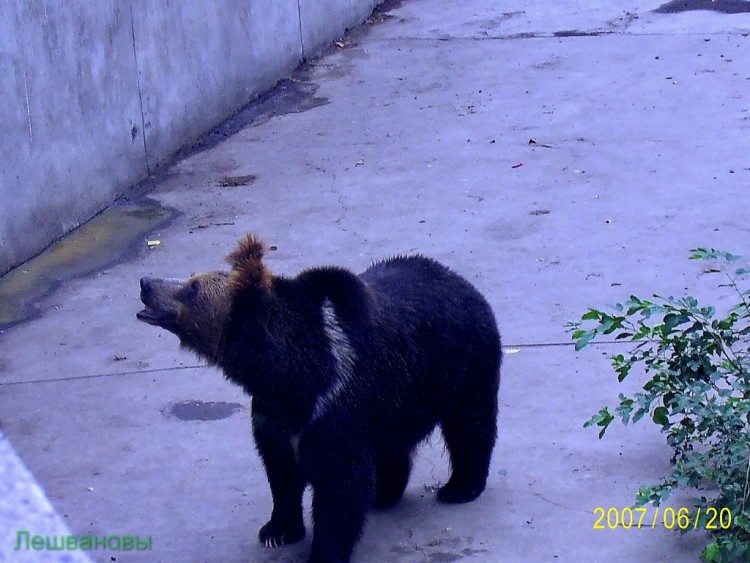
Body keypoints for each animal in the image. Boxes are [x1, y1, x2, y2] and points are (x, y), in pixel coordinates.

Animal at [140, 234, 506, 563]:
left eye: (192, 287)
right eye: (191, 277)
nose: (145, 282)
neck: (287, 375)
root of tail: (459, 280)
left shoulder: (333, 407)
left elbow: (340, 484)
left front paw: (323, 551)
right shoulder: (273, 415)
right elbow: (281, 470)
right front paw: (277, 530)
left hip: (467, 364)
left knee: (470, 424)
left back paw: (460, 487)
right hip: (402, 395)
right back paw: (385, 493)